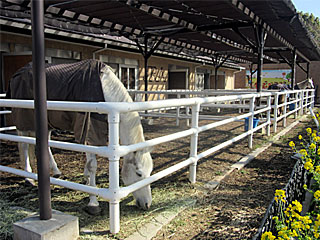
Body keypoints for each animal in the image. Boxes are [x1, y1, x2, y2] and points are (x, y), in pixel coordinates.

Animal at [9, 59, 154, 212]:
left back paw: (55, 171)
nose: (147, 204)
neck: (104, 89)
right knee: (24, 145)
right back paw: (28, 177)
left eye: (150, 171)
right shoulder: (89, 132)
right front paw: (93, 202)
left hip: (46, 123)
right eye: (139, 173)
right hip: (23, 121)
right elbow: (92, 166)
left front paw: (87, 180)